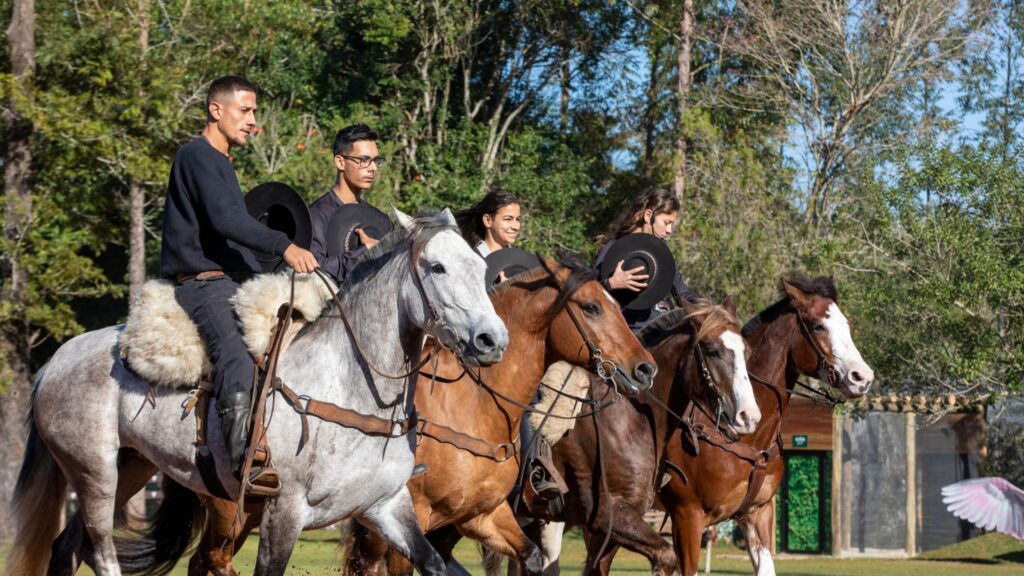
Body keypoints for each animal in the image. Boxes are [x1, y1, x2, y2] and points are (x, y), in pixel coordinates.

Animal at [4, 210, 509, 576]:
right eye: (436, 266)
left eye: (480, 267)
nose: (492, 339)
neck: (350, 386)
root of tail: (56, 361)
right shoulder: (284, 513)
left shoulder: (387, 506)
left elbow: (433, 563)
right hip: (94, 474)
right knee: (101, 552)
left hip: (128, 469)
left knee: (68, 549)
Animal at [143, 258, 657, 576]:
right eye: (591, 307)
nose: (644, 367)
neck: (471, 405)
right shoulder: (407, 517)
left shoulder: (480, 516)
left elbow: (528, 559)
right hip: (234, 509)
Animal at [490, 297, 761, 576]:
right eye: (712, 351)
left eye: (746, 353)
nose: (748, 417)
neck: (630, 420)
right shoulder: (610, 515)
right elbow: (666, 556)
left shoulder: (609, 532)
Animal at [658, 277, 873, 576]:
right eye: (818, 326)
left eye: (846, 324)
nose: (862, 378)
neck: (745, 438)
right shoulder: (687, 517)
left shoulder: (757, 513)